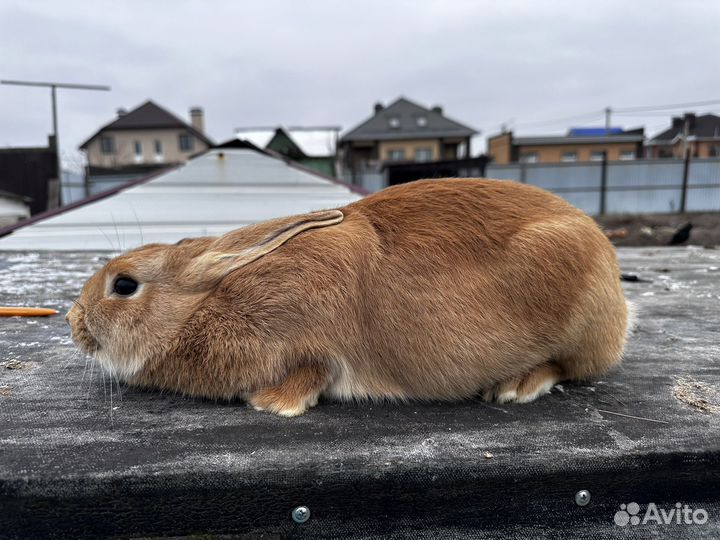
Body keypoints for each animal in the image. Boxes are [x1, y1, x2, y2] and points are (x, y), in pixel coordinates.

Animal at [67, 178, 630, 417]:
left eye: (123, 285)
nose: (73, 321)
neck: (207, 306)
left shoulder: (306, 339)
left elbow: (312, 372)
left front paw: (270, 404)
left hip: (578, 317)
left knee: (568, 366)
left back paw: (515, 386)